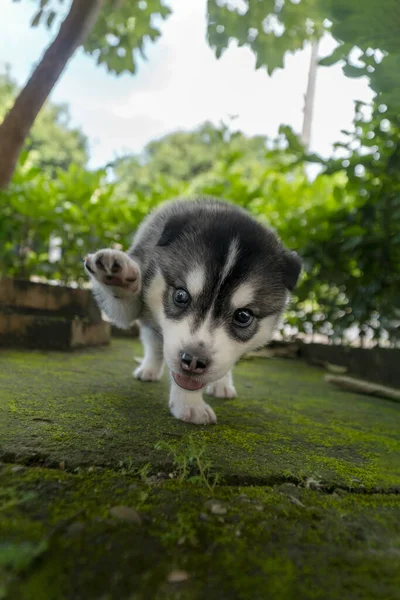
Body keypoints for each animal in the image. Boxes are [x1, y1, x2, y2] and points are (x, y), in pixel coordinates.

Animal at [85, 199, 304, 424]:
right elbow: (124, 308)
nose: (193, 361)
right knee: (153, 344)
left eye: (243, 316)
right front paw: (117, 275)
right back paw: (149, 369)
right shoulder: (137, 295)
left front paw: (189, 404)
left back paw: (222, 385)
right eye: (181, 296)